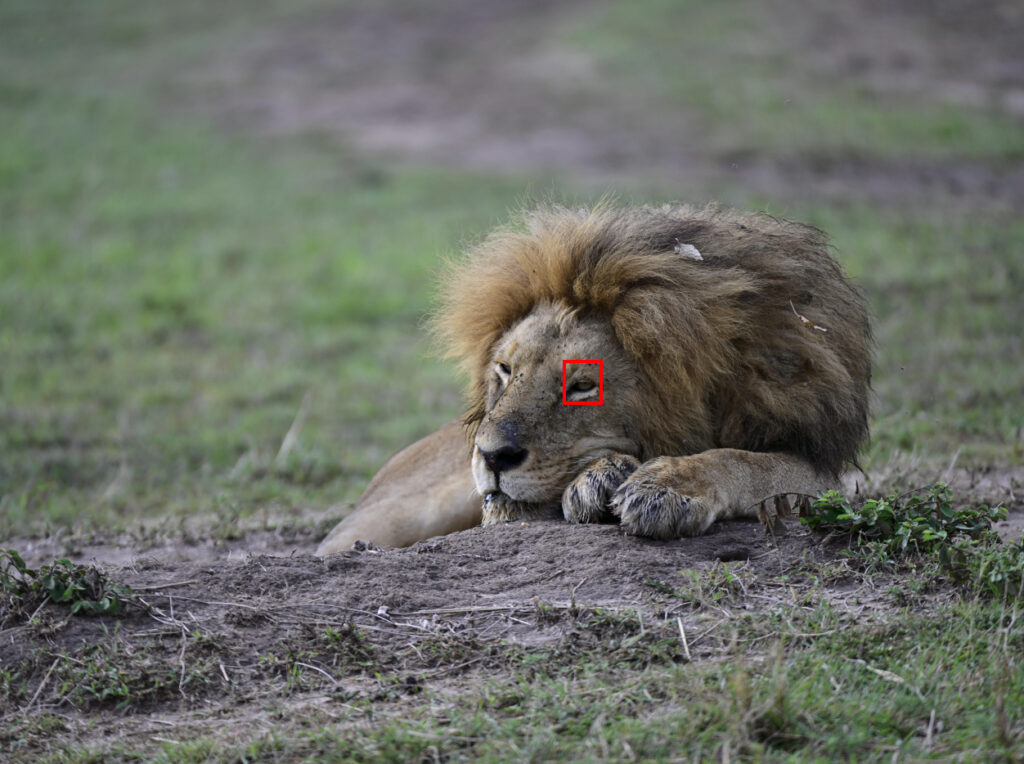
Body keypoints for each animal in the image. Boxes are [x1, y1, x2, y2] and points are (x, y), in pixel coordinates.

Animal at [316, 204, 871, 555]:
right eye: (505, 371)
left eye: (583, 385)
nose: (491, 456)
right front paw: (604, 477)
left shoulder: (824, 465)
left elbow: (751, 462)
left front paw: (665, 485)